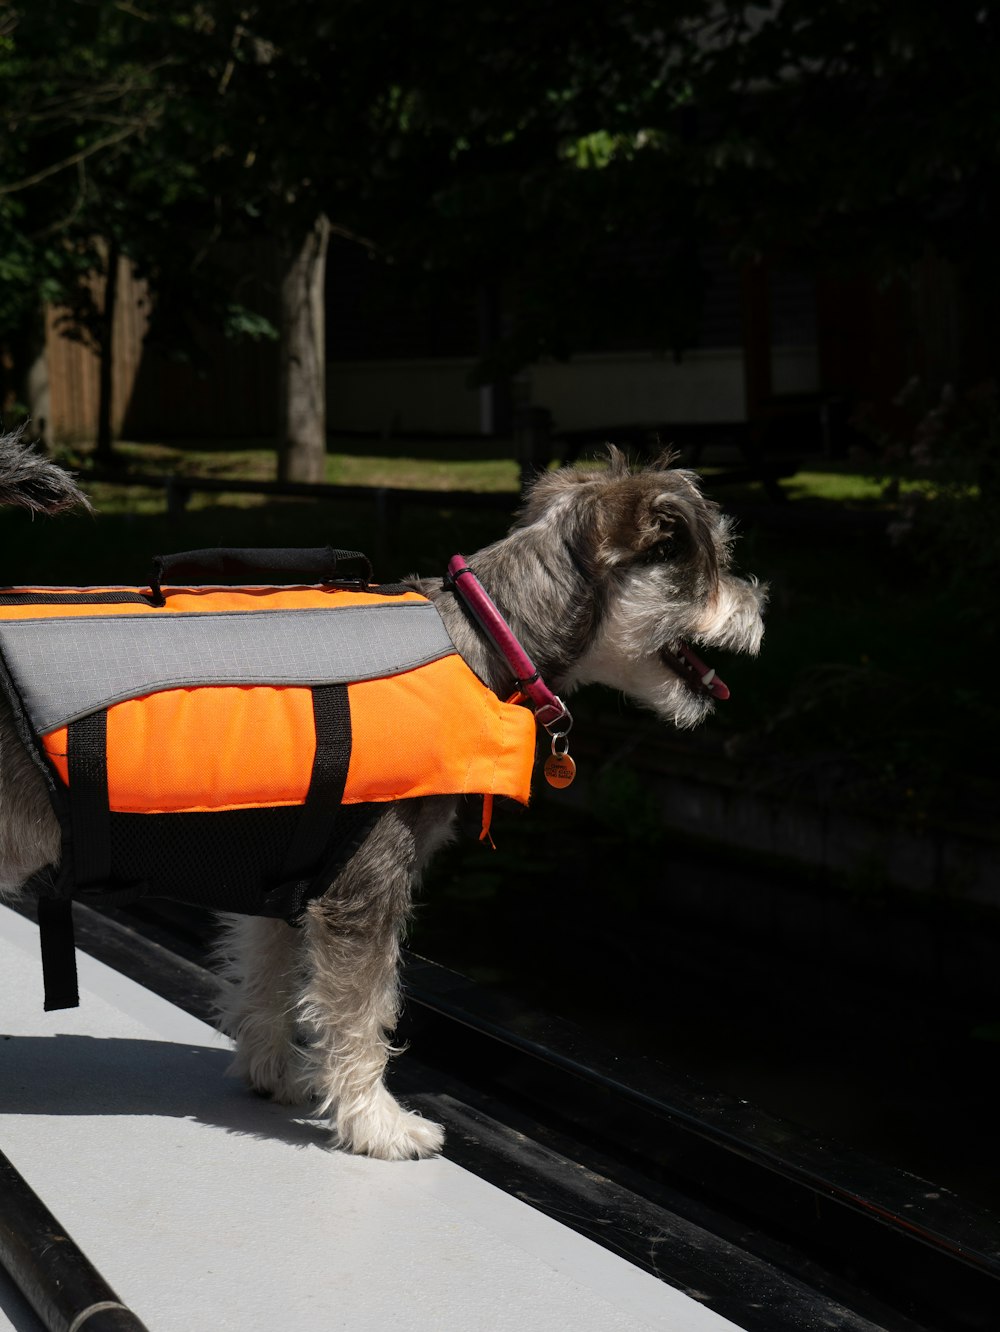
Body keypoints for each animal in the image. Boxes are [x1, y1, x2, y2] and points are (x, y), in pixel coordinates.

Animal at [0, 434, 766, 1156]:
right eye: (709, 563)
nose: (760, 604)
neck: (491, 639)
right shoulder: (367, 886)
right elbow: (364, 1012)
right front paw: (378, 1124)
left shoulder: (289, 878)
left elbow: (270, 982)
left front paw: (274, 1074)